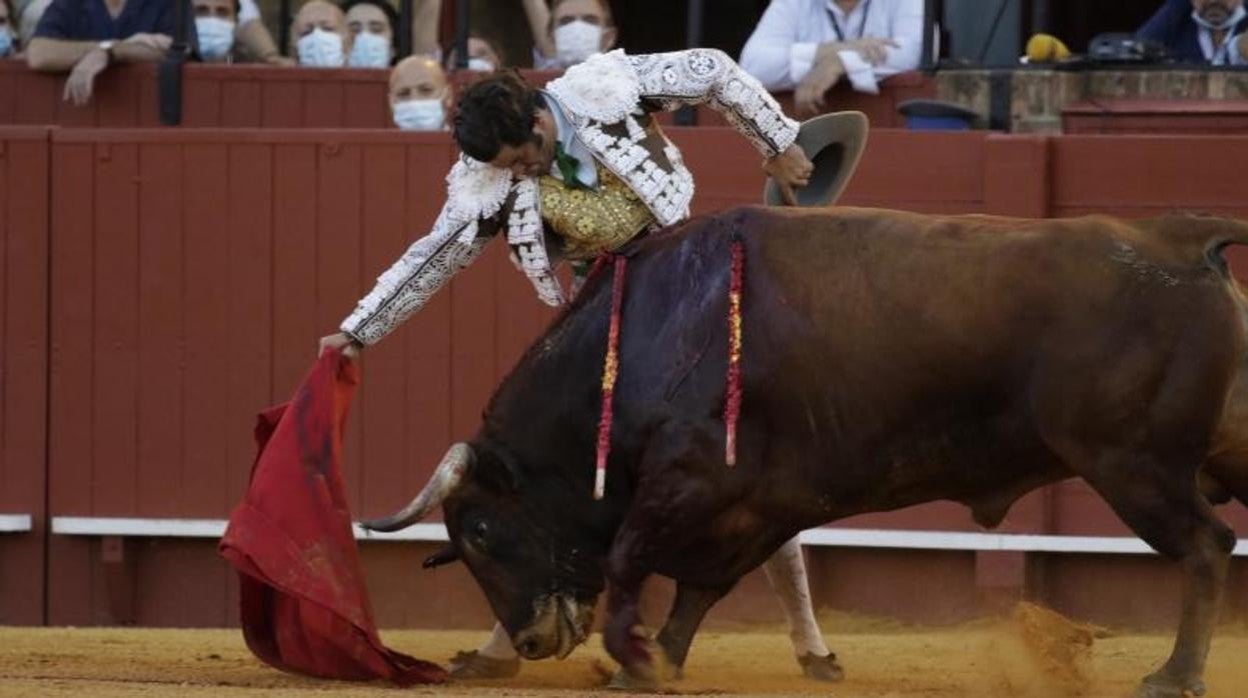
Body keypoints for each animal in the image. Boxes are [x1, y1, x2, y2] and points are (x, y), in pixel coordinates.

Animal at [364, 204, 1248, 694]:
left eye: (482, 531)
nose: (529, 641)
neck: (647, 332)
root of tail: (1182, 240)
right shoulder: (759, 502)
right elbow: (699, 588)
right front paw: (658, 661)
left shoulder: (688, 481)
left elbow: (628, 558)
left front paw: (633, 658)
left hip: (1133, 466)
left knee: (1206, 546)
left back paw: (1175, 676)